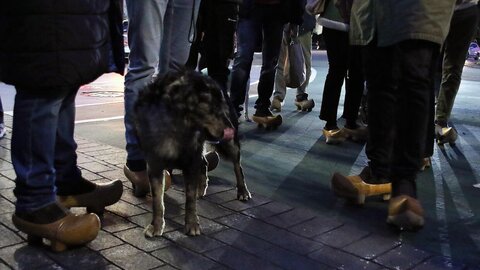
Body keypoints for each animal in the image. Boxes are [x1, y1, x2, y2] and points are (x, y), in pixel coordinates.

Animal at [132, 69, 249, 236]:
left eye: (222, 106)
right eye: (211, 106)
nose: (231, 130)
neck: (175, 127)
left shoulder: (191, 162)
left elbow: (190, 198)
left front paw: (192, 224)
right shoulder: (154, 165)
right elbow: (157, 200)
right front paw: (156, 225)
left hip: (229, 146)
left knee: (238, 166)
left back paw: (242, 191)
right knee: (205, 163)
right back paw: (202, 187)